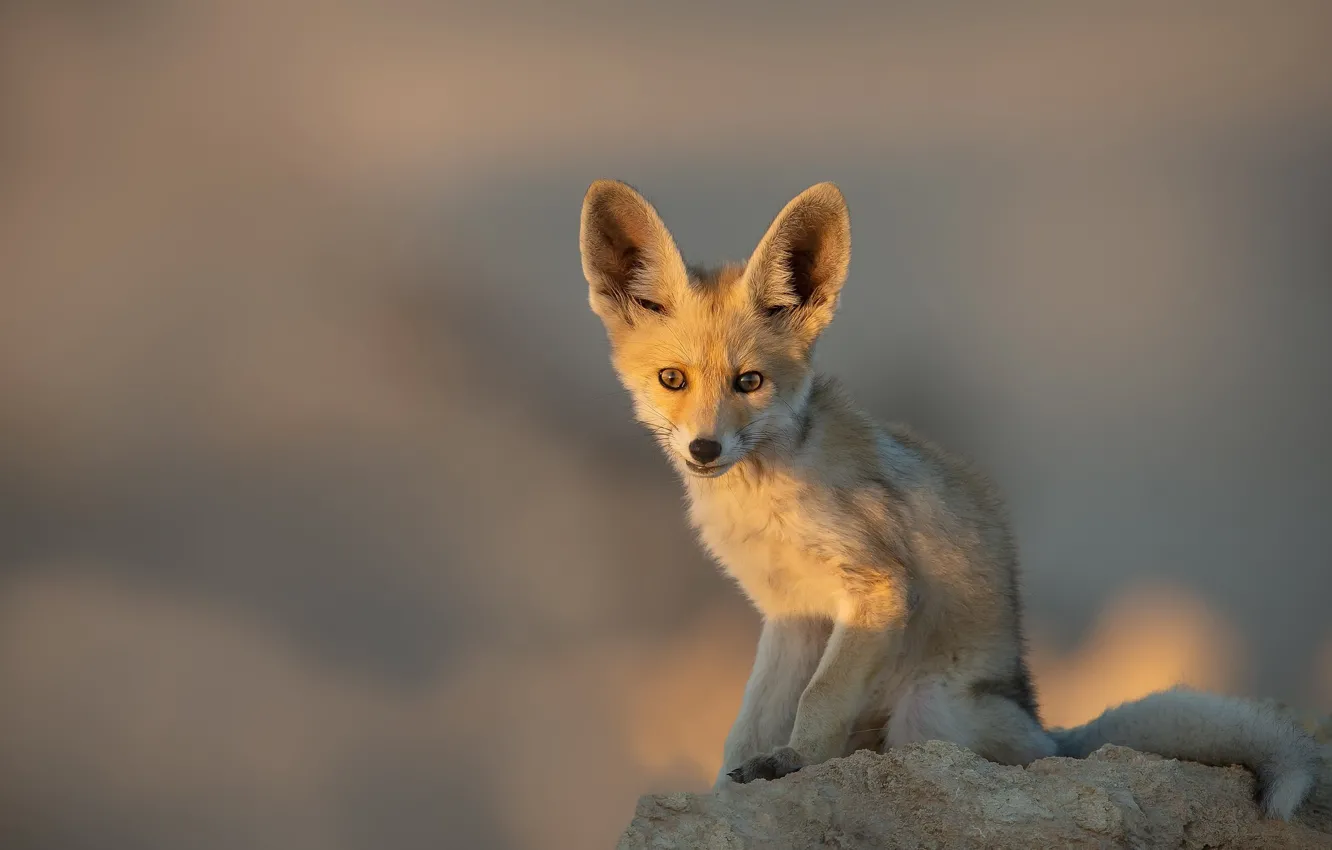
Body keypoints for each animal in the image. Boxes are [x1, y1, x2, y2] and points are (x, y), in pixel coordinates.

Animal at [577, 178, 1321, 820]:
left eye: (749, 381)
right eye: (672, 379)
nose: (705, 450)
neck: (765, 500)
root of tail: (1047, 730)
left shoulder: (879, 587)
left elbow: (817, 701)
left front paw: (794, 764)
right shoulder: (790, 616)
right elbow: (748, 726)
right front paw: (730, 791)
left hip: (928, 711)